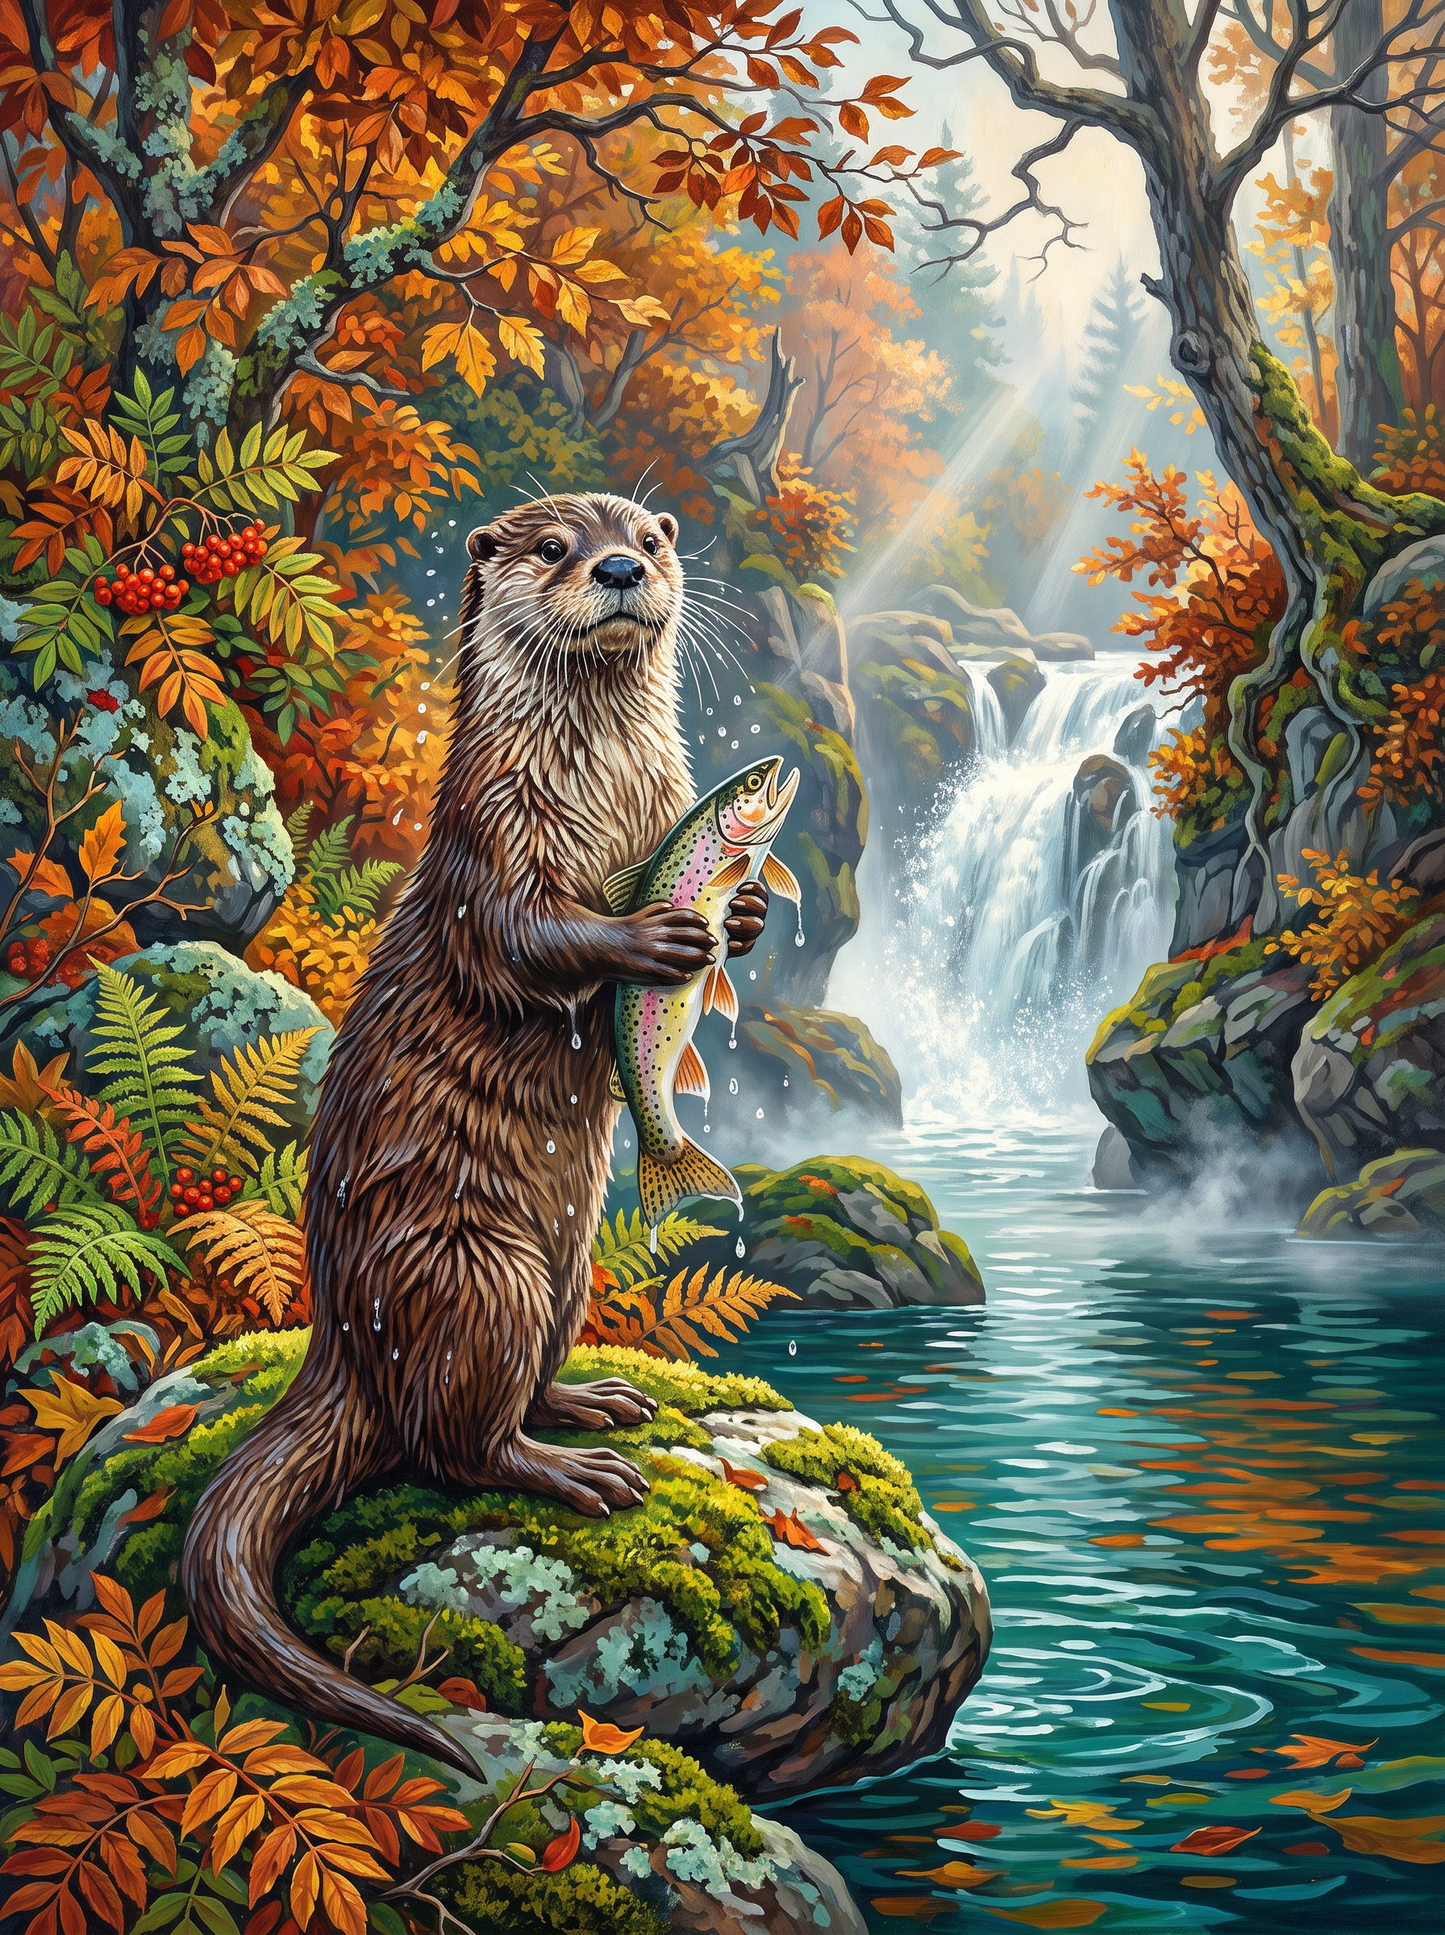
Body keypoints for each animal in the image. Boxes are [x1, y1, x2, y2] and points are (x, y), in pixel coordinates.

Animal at [181, 493, 769, 1778]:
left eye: (648, 541)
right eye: (553, 548)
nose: (617, 568)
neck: (602, 795)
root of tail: (341, 1344)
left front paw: (741, 909)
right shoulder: (491, 839)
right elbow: (520, 937)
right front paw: (645, 939)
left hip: (564, 1268)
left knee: (509, 1395)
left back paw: (595, 1404)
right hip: (473, 1274)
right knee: (454, 1447)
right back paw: (581, 1473)